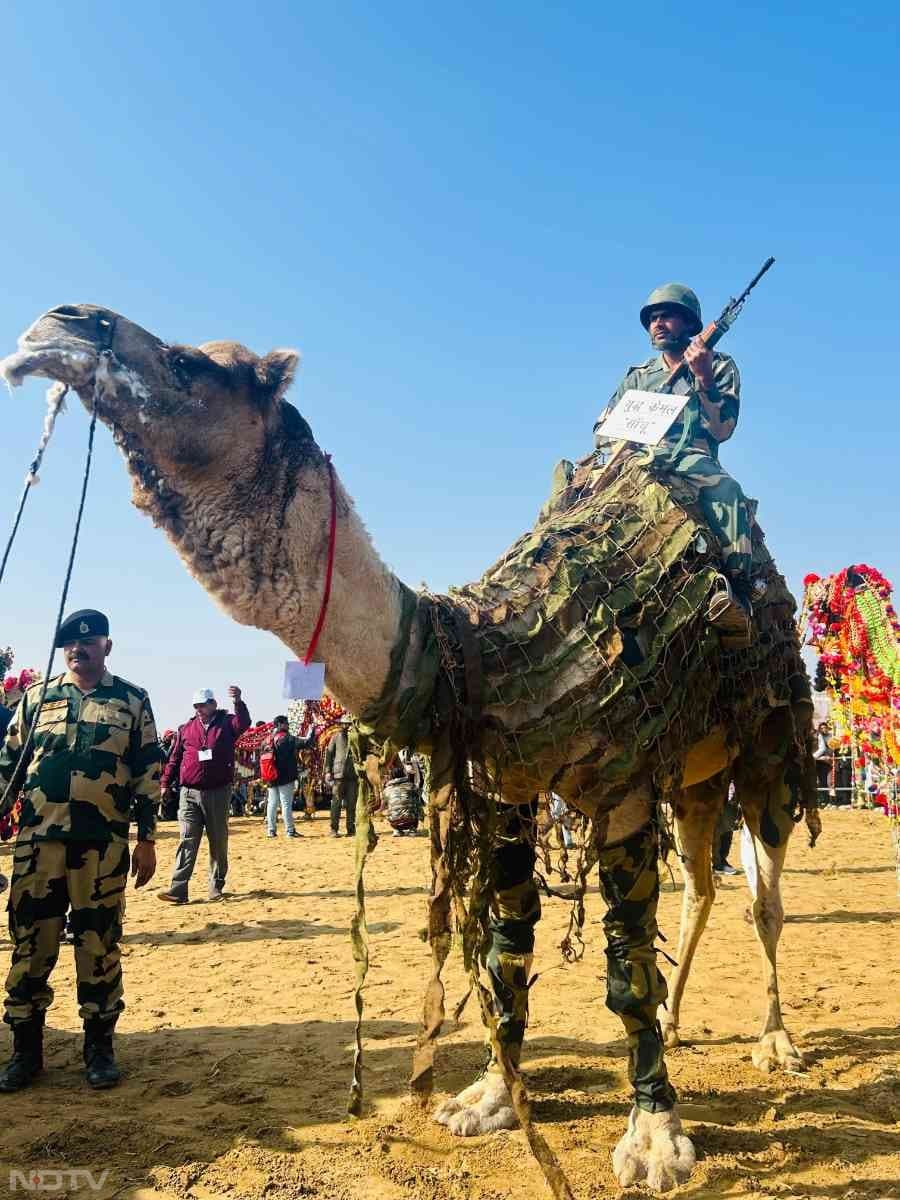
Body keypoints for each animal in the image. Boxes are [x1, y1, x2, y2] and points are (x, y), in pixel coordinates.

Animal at [5, 307, 825, 1190]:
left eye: (193, 364)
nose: (58, 325)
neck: (475, 652)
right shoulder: (507, 786)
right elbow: (506, 943)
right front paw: (488, 1098)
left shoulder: (624, 786)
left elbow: (623, 960)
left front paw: (656, 1137)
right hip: (694, 777)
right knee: (700, 885)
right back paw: (678, 1022)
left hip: (769, 751)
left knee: (762, 896)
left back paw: (775, 1042)